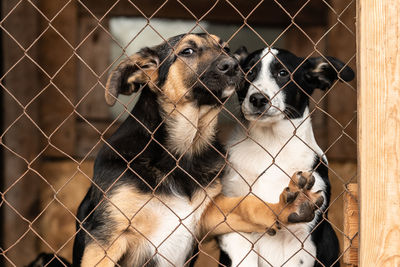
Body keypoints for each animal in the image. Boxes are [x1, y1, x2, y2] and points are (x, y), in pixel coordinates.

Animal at [69, 34, 324, 267]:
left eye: (225, 48)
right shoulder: (106, 239)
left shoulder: (208, 215)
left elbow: (248, 205)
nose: (234, 65)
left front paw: (288, 206)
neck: (183, 152)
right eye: (187, 51)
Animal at [219, 48, 354, 267]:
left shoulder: (303, 237)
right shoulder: (232, 221)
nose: (258, 99)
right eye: (248, 72)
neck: (271, 144)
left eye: (283, 73)